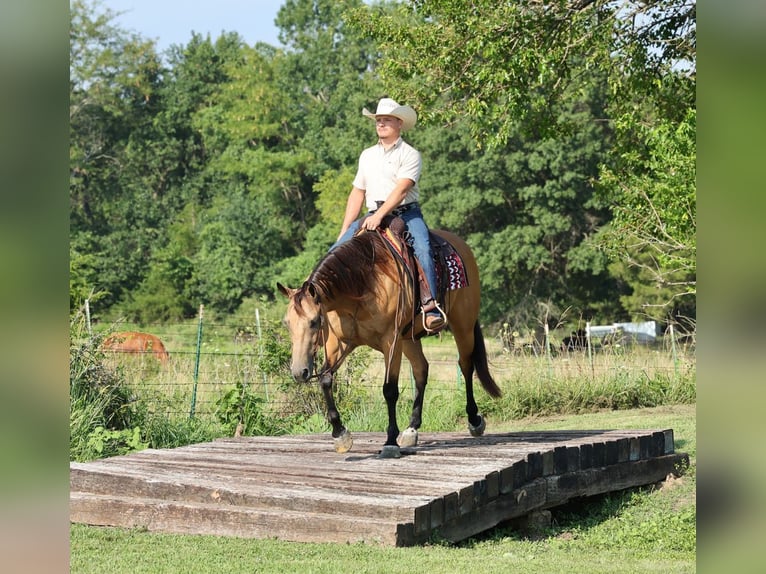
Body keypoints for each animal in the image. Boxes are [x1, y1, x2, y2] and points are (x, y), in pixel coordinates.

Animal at [277, 227, 502, 458]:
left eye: (314, 321)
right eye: (287, 323)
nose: (299, 372)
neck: (360, 286)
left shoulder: (390, 342)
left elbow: (390, 390)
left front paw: (390, 441)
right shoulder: (339, 343)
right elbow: (325, 379)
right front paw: (340, 434)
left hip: (462, 325)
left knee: (465, 365)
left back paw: (474, 419)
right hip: (409, 338)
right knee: (421, 370)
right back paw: (412, 428)